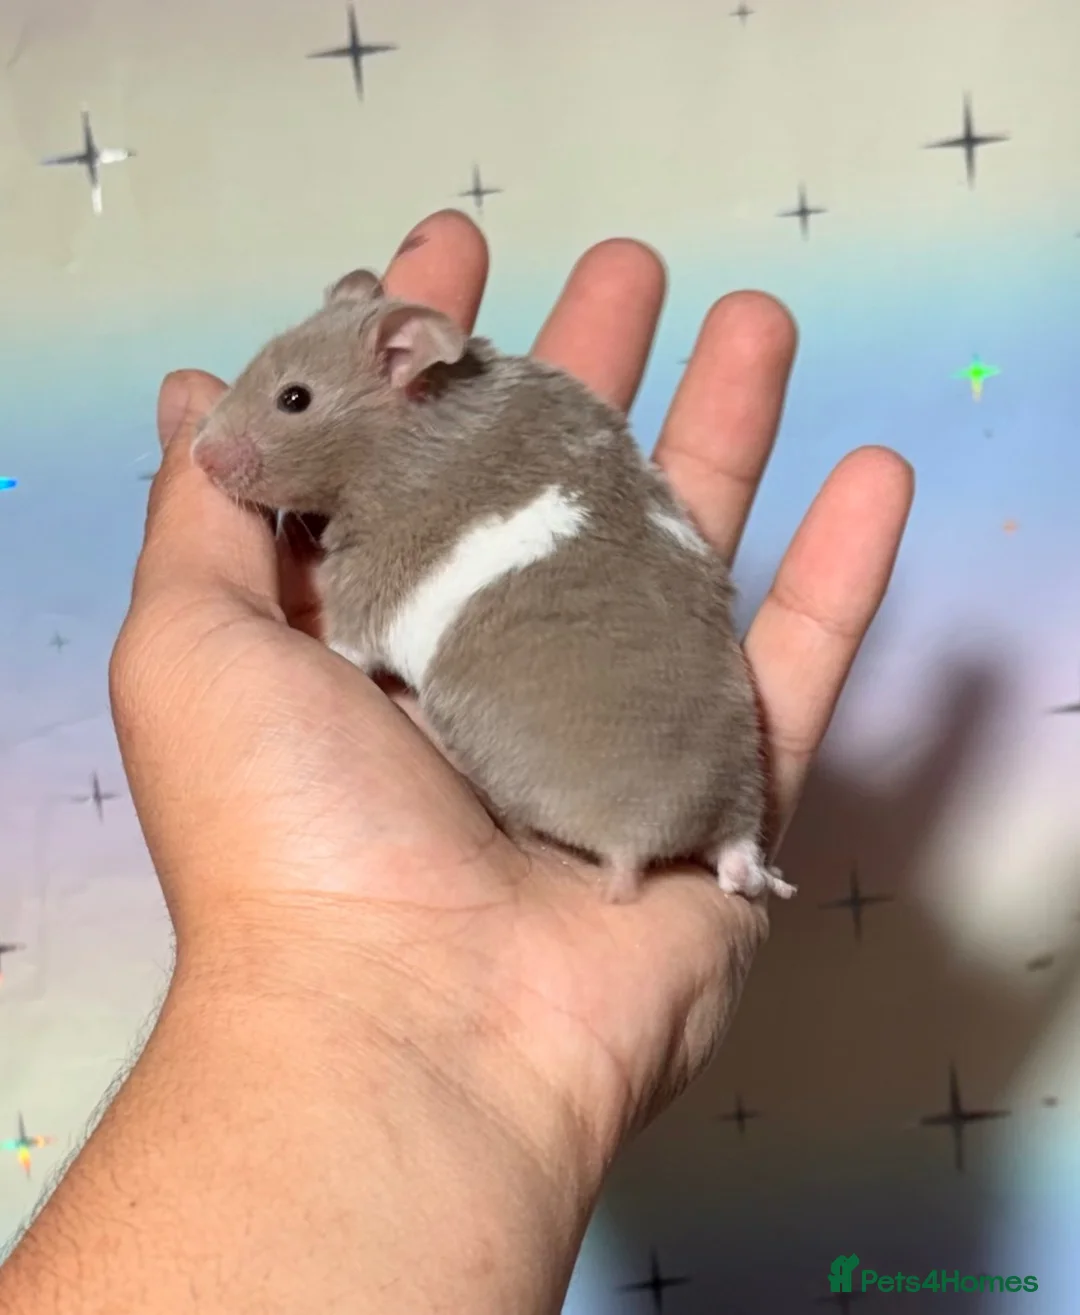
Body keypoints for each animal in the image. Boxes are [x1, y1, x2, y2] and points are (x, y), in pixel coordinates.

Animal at [190, 268, 796, 904]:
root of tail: (650, 835)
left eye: (294, 398)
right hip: (740, 781)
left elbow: (348, 644)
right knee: (737, 850)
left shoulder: (367, 580)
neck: (411, 429)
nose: (197, 455)